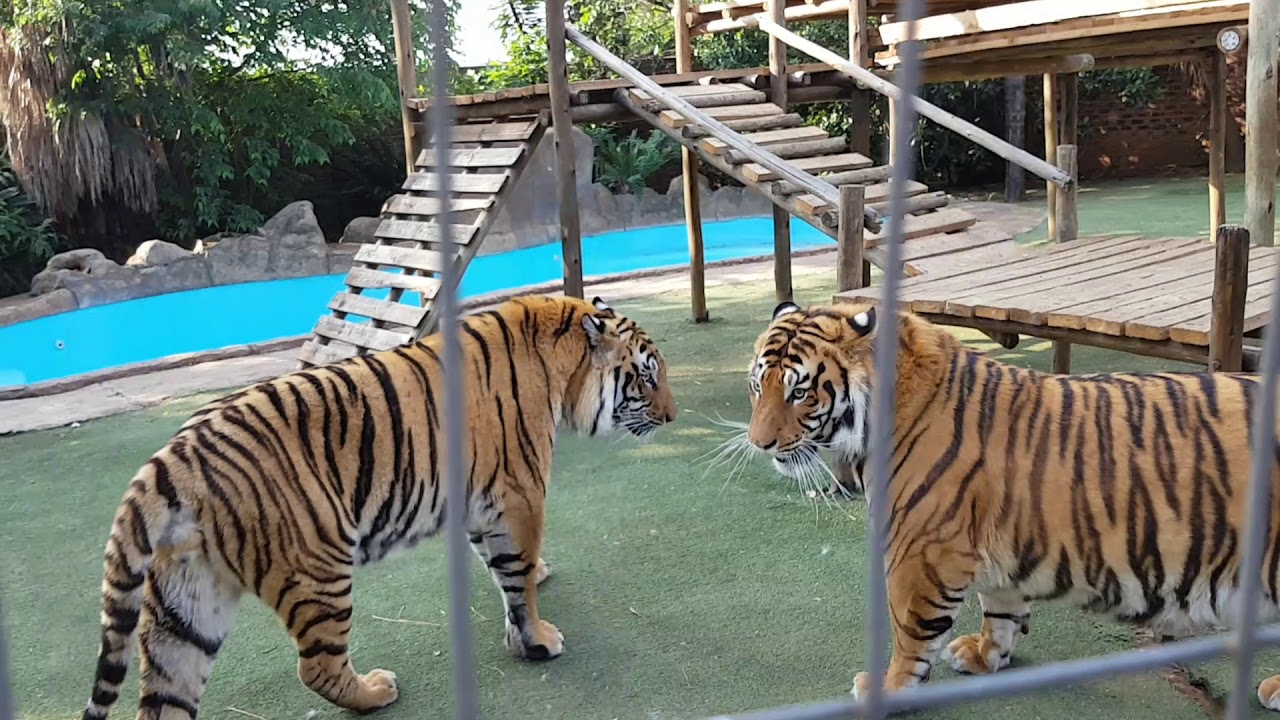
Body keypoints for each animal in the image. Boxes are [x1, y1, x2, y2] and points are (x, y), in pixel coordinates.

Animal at [80, 294, 676, 720]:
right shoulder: (519, 494)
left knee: (164, 697)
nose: (672, 417)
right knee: (316, 667)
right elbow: (517, 577)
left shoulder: (480, 501)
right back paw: (375, 691)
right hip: (318, 571)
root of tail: (171, 457)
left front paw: (535, 588)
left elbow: (501, 565)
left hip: (187, 608)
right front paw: (536, 640)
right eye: (647, 376)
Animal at [744, 299, 1280, 711]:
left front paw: (887, 689)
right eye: (757, 385)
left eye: (799, 391)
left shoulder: (921, 553)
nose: (758, 443)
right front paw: (986, 656)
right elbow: (999, 608)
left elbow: (908, 630)